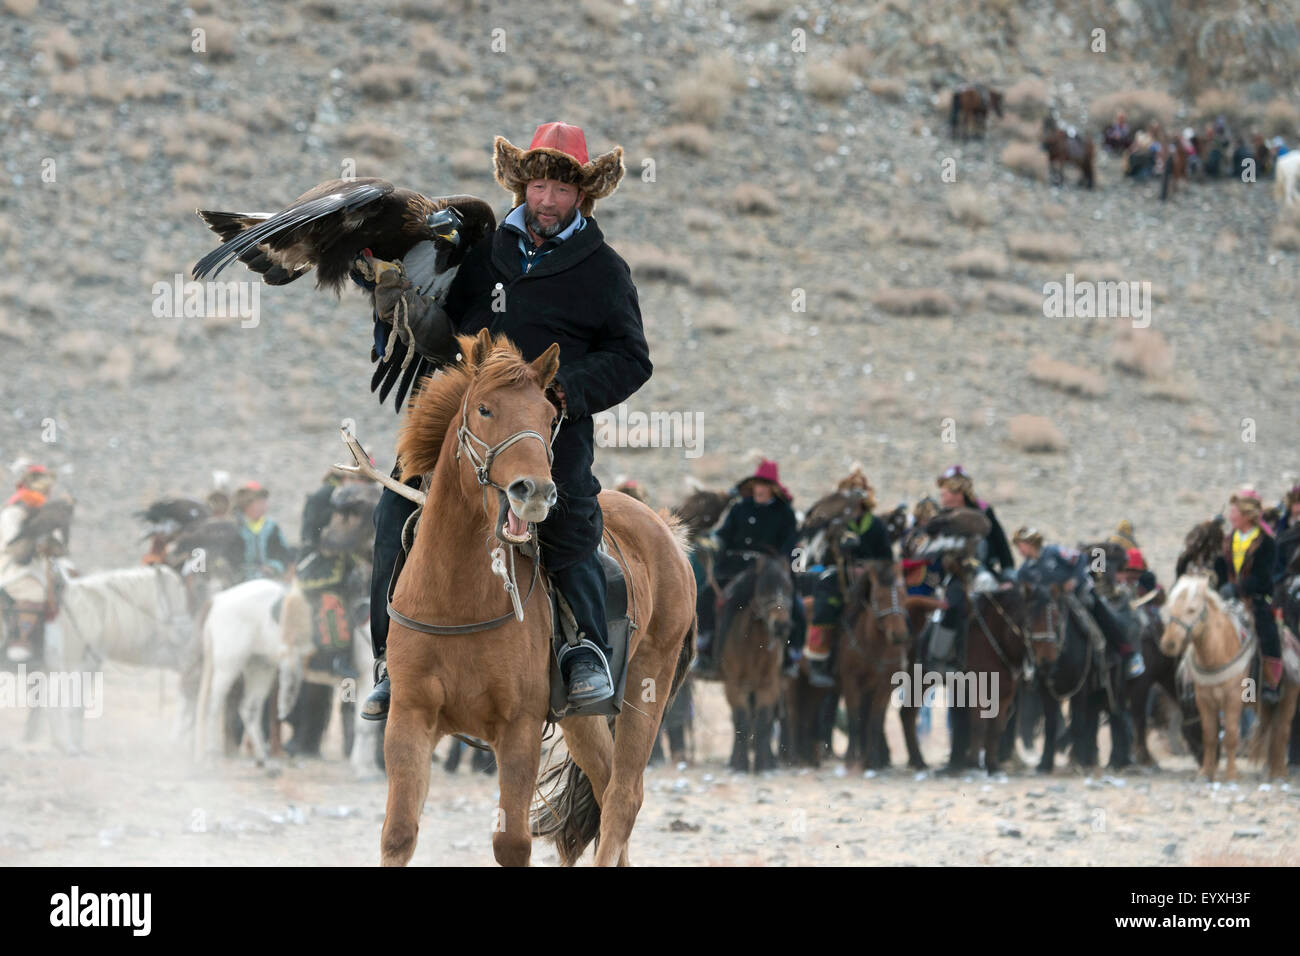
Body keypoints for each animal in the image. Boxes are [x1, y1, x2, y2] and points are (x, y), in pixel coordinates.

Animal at [379, 330, 696, 868]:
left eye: (551, 418)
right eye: (484, 409)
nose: (534, 492)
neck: (457, 598)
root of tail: (668, 534)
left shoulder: (519, 727)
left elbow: (511, 843)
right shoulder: (409, 716)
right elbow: (399, 833)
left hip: (647, 685)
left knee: (623, 798)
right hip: (582, 719)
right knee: (605, 784)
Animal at [717, 548, 795, 775]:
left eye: (788, 587)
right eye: (764, 587)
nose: (781, 626)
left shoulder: (769, 683)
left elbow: (763, 720)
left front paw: (764, 764)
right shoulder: (734, 684)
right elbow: (741, 719)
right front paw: (741, 764)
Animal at [1159, 572, 1300, 780]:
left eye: (1192, 609)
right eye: (1171, 607)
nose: (1169, 643)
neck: (1218, 651)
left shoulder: (1232, 699)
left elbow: (1231, 735)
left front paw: (1231, 774)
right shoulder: (1204, 700)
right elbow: (1209, 735)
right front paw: (1205, 772)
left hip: (1288, 697)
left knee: (1282, 731)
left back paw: (1278, 773)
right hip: (1263, 704)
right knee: (1272, 730)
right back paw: (1271, 770)